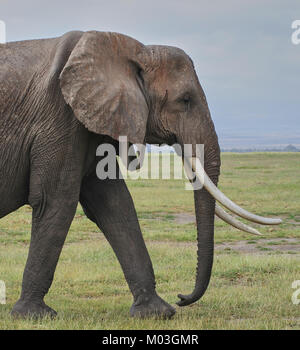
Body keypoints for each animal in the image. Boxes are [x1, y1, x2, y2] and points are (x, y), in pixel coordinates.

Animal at [0, 30, 282, 320]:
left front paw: (157, 313)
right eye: (185, 100)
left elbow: (114, 204)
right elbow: (56, 201)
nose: (182, 297)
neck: (134, 51)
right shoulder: (60, 119)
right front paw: (34, 316)